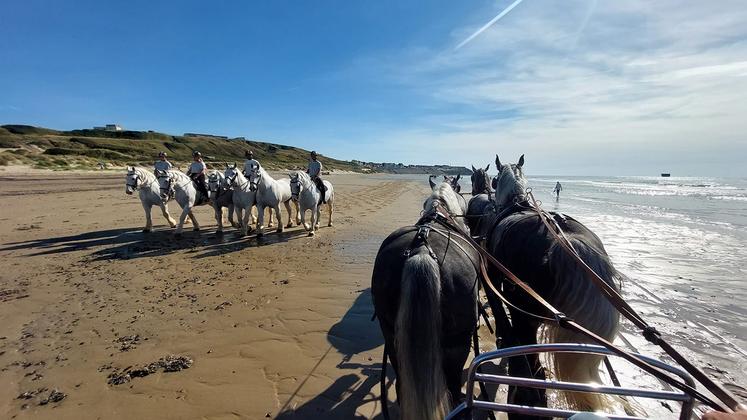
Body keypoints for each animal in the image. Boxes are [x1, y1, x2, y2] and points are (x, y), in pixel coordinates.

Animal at [468, 155, 620, 416]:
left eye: (492, 180)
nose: (480, 190)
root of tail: (567, 243)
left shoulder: (495, 281)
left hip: (525, 312)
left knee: (529, 356)